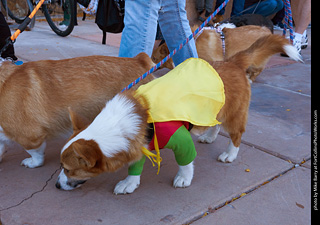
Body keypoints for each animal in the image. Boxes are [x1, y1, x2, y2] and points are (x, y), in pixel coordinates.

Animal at [56, 35, 302, 193]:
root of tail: (233, 62)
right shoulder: (141, 144)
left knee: (236, 134)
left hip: (234, 115)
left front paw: (184, 178)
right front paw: (130, 182)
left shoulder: (180, 139)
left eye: (68, 170)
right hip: (213, 108)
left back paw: (230, 154)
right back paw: (209, 137)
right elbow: (135, 167)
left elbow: (186, 163)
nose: (57, 185)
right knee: (215, 124)